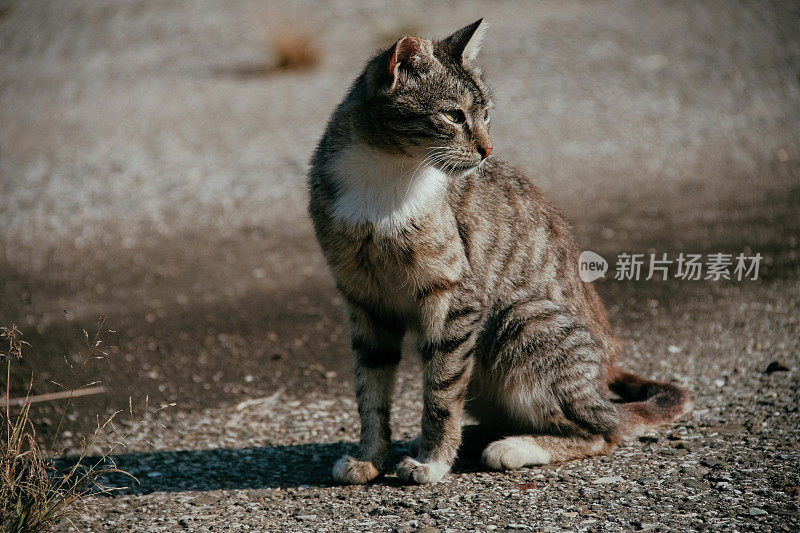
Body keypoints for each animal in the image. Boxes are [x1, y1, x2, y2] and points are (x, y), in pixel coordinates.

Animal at [308, 19, 692, 482]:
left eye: (486, 114)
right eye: (454, 115)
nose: (487, 150)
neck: (386, 174)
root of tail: (603, 384)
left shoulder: (457, 299)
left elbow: (441, 392)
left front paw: (434, 462)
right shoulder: (365, 302)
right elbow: (371, 393)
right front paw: (371, 456)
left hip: (519, 319)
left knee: (603, 430)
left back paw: (514, 447)